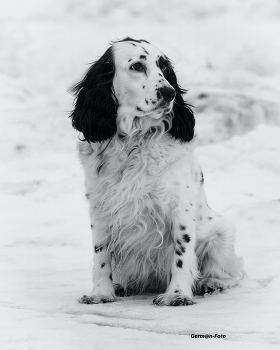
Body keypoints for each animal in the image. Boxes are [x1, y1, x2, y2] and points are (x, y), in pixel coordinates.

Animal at [70, 37, 243, 304]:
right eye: (137, 66)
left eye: (164, 68)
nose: (169, 92)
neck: (134, 140)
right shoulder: (99, 208)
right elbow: (101, 256)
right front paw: (100, 293)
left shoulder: (179, 205)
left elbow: (182, 253)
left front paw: (177, 295)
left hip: (221, 232)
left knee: (231, 274)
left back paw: (211, 283)